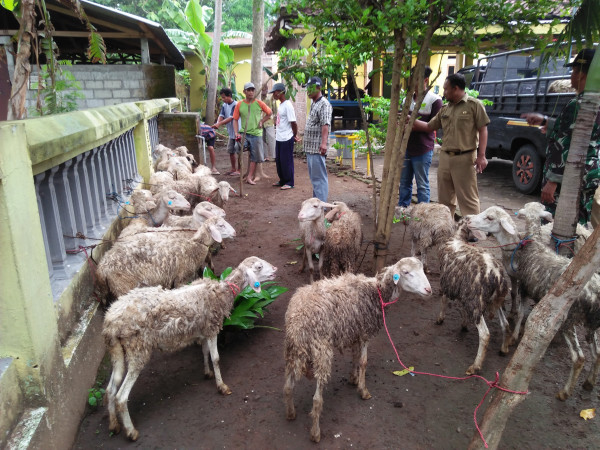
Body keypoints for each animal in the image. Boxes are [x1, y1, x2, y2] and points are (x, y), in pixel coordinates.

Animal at [95, 215, 236, 300]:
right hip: (122, 286)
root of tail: (102, 268)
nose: (235, 233)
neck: (195, 244)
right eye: (221, 225)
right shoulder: (181, 278)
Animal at [103, 256, 278, 440]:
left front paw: (207, 373)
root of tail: (111, 322)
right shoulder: (212, 328)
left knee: (110, 389)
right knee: (121, 397)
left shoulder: (203, 330)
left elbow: (205, 352)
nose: (275, 269)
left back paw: (114, 425)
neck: (222, 292)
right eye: (259, 267)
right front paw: (221, 386)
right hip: (137, 348)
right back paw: (131, 431)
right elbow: (216, 358)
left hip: (116, 351)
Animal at [284, 256, 432, 442]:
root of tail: (298, 320)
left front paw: (353, 378)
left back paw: (291, 413)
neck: (377, 292)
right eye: (406, 272)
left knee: (288, 387)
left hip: (292, 352)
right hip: (321, 351)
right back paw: (315, 433)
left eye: (423, 270)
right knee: (317, 400)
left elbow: (354, 357)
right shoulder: (365, 332)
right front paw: (363, 390)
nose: (429, 290)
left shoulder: (355, 331)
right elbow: (363, 362)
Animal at [436, 218, 510, 376]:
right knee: (505, 323)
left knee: (485, 334)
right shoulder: (463, 290)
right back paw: (504, 349)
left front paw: (440, 319)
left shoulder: (447, 281)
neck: (458, 238)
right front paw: (464, 324)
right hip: (494, 301)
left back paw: (475, 366)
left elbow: (444, 300)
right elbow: (463, 310)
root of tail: (497, 276)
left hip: (477, 300)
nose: (477, 239)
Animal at [472, 202, 600, 400]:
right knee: (598, 353)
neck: (529, 244)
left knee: (579, 358)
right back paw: (589, 382)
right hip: (593, 324)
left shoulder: (525, 287)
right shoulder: (516, 279)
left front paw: (514, 336)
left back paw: (565, 392)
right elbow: (516, 303)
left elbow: (521, 312)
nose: (469, 219)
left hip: (569, 319)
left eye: (490, 217)